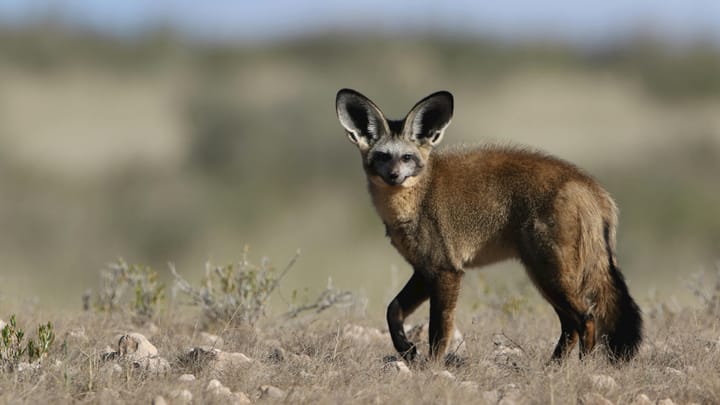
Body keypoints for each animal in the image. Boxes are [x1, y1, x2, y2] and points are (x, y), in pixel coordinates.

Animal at [335, 88, 642, 364]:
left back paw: (581, 369)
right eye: (383, 156)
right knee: (571, 326)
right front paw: (407, 350)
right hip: (545, 277)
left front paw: (431, 370)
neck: (417, 200)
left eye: (407, 157)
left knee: (586, 319)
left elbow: (438, 332)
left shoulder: (447, 271)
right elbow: (393, 311)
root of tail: (591, 186)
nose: (394, 176)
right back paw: (552, 369)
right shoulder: (425, 270)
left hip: (550, 275)